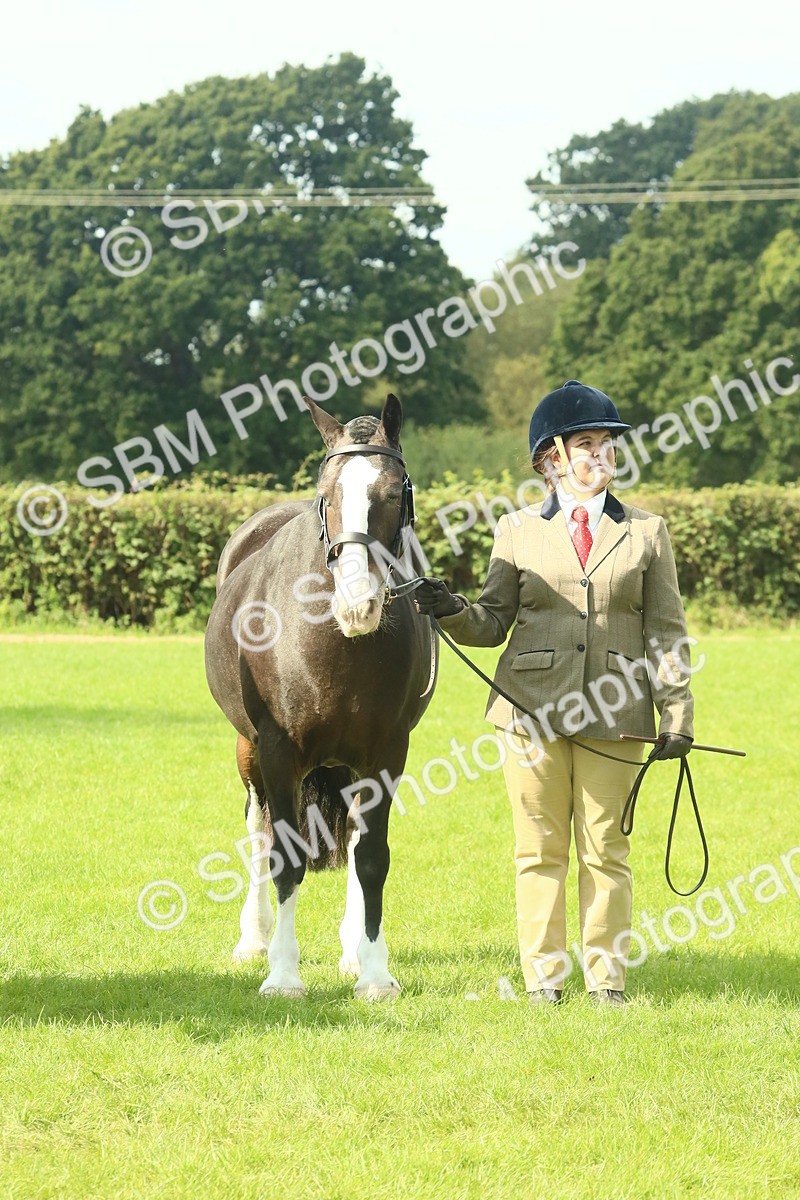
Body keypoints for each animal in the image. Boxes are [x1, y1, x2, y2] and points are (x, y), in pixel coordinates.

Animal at [204, 393, 438, 1000]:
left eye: (394, 492)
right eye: (327, 494)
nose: (358, 603)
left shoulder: (386, 755)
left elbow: (372, 859)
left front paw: (374, 972)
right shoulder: (277, 750)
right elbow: (284, 861)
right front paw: (283, 974)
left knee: (354, 843)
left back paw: (353, 950)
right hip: (247, 752)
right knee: (257, 829)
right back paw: (253, 939)